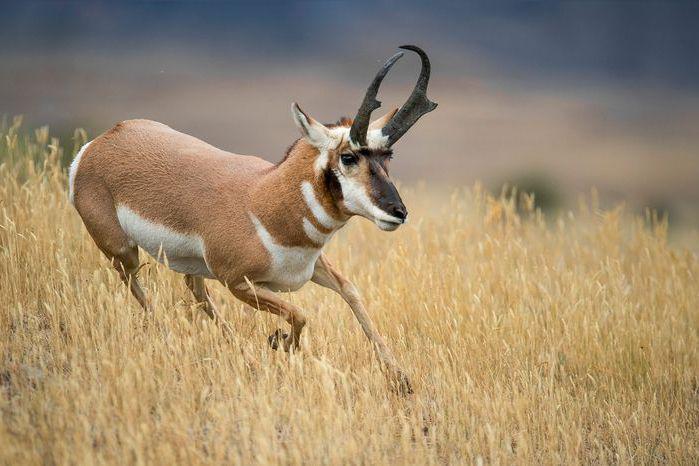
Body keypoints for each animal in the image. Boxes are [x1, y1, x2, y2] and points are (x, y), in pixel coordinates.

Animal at [67, 44, 438, 394]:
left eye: (388, 155)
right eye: (348, 157)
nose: (398, 212)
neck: (264, 200)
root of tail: (98, 144)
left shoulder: (312, 269)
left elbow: (351, 292)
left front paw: (401, 379)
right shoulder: (239, 284)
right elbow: (301, 314)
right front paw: (279, 342)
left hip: (193, 266)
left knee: (194, 290)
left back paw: (240, 353)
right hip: (122, 252)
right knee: (138, 288)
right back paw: (176, 340)